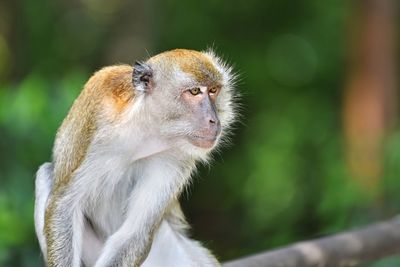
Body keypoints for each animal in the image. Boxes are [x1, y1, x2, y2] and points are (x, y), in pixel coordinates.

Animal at [34, 48, 238, 267]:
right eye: (194, 92)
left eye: (214, 90)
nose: (214, 120)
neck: (146, 132)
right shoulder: (98, 133)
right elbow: (64, 204)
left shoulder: (176, 158)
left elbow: (134, 234)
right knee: (46, 174)